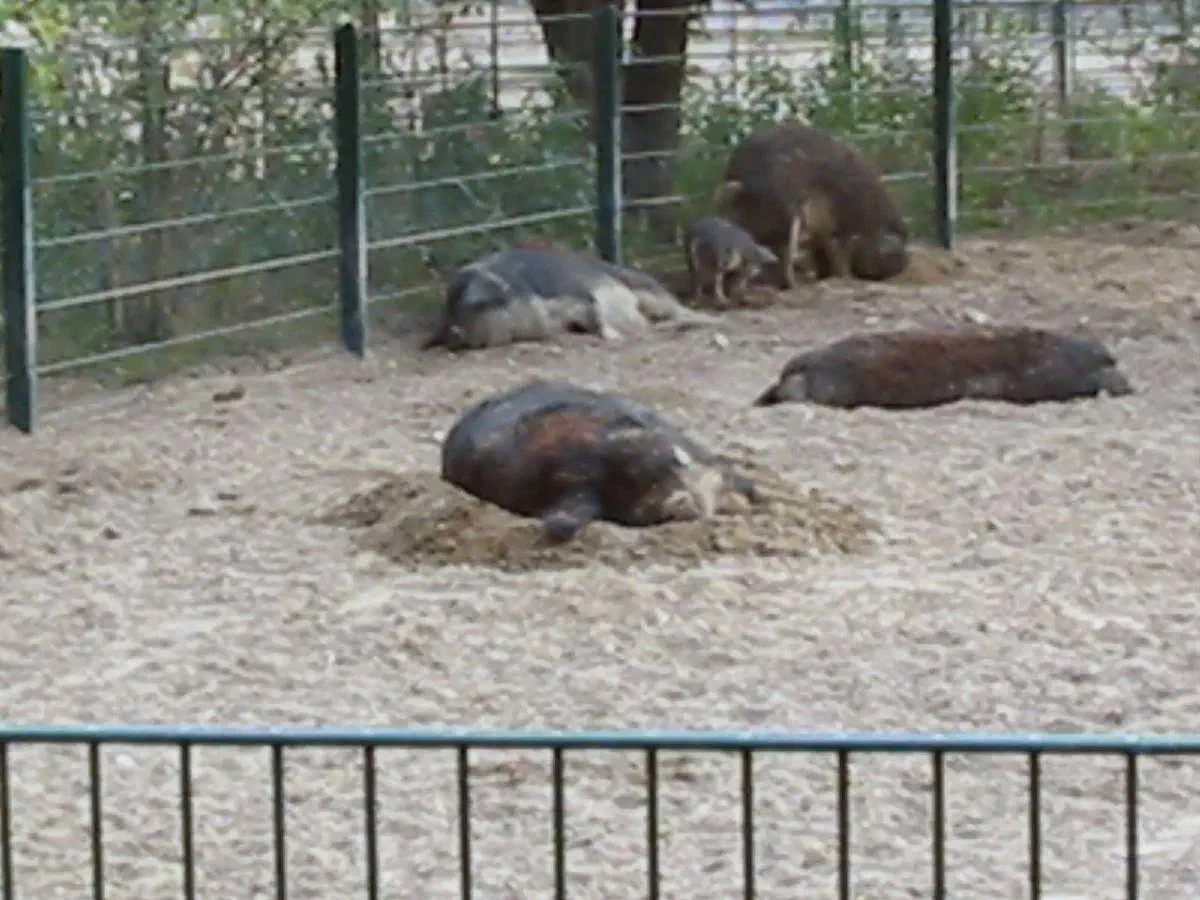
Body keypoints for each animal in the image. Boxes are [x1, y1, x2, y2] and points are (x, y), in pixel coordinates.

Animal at [423, 246, 717, 351]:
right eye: (452, 303)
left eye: (479, 302)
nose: (455, 332)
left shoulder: (576, 293)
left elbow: (596, 311)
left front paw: (614, 337)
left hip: (648, 288)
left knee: (679, 311)